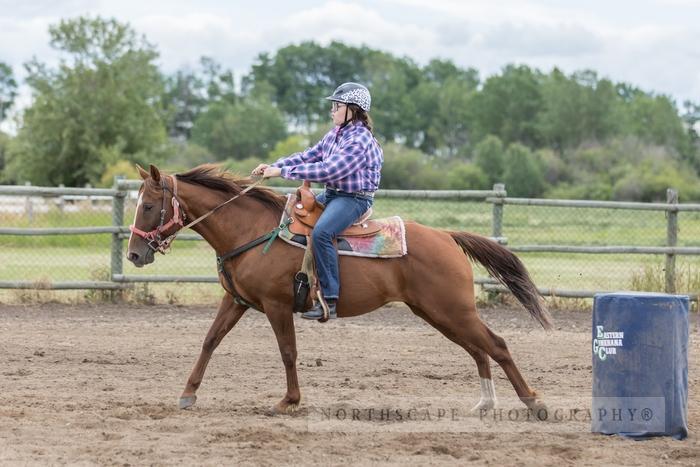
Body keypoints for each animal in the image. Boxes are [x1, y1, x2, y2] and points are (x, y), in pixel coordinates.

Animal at [127, 164, 552, 416]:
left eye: (148, 206)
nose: (133, 254)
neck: (249, 231)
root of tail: (446, 236)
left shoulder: (277, 305)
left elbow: (288, 352)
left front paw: (288, 401)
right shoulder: (237, 301)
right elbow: (210, 341)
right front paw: (188, 393)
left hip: (452, 310)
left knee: (496, 344)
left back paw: (533, 402)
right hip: (438, 313)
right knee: (478, 349)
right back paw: (485, 403)